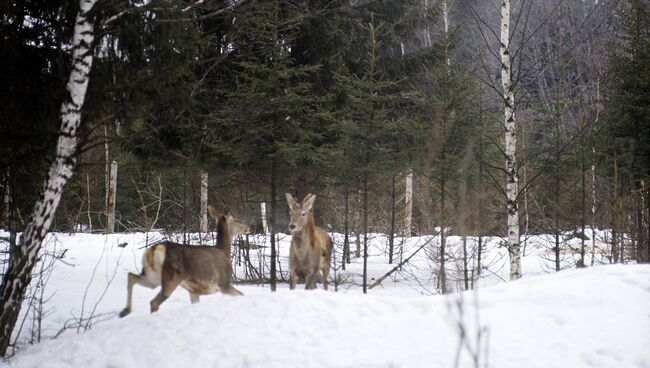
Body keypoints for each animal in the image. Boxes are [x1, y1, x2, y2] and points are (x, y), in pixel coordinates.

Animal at [117, 204, 249, 316]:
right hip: (171, 277)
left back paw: (125, 311)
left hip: (153, 276)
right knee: (154, 302)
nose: (248, 227)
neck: (224, 252)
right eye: (237, 220)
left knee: (132, 276)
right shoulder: (224, 284)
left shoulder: (194, 292)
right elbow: (242, 295)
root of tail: (155, 249)